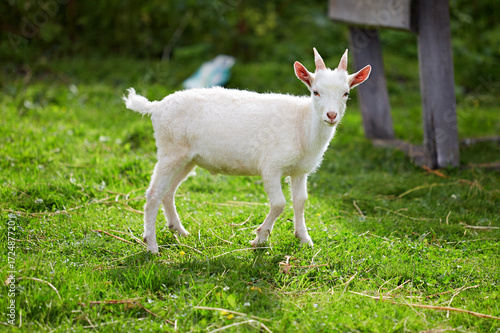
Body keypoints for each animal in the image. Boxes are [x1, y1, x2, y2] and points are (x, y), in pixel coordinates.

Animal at [122, 48, 370, 252]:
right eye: (315, 92)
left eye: (346, 93)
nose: (331, 115)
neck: (301, 124)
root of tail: (156, 106)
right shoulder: (271, 165)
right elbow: (279, 203)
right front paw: (260, 239)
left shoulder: (300, 171)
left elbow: (300, 201)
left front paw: (304, 239)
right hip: (170, 149)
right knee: (154, 193)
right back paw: (151, 246)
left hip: (187, 158)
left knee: (169, 191)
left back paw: (179, 230)